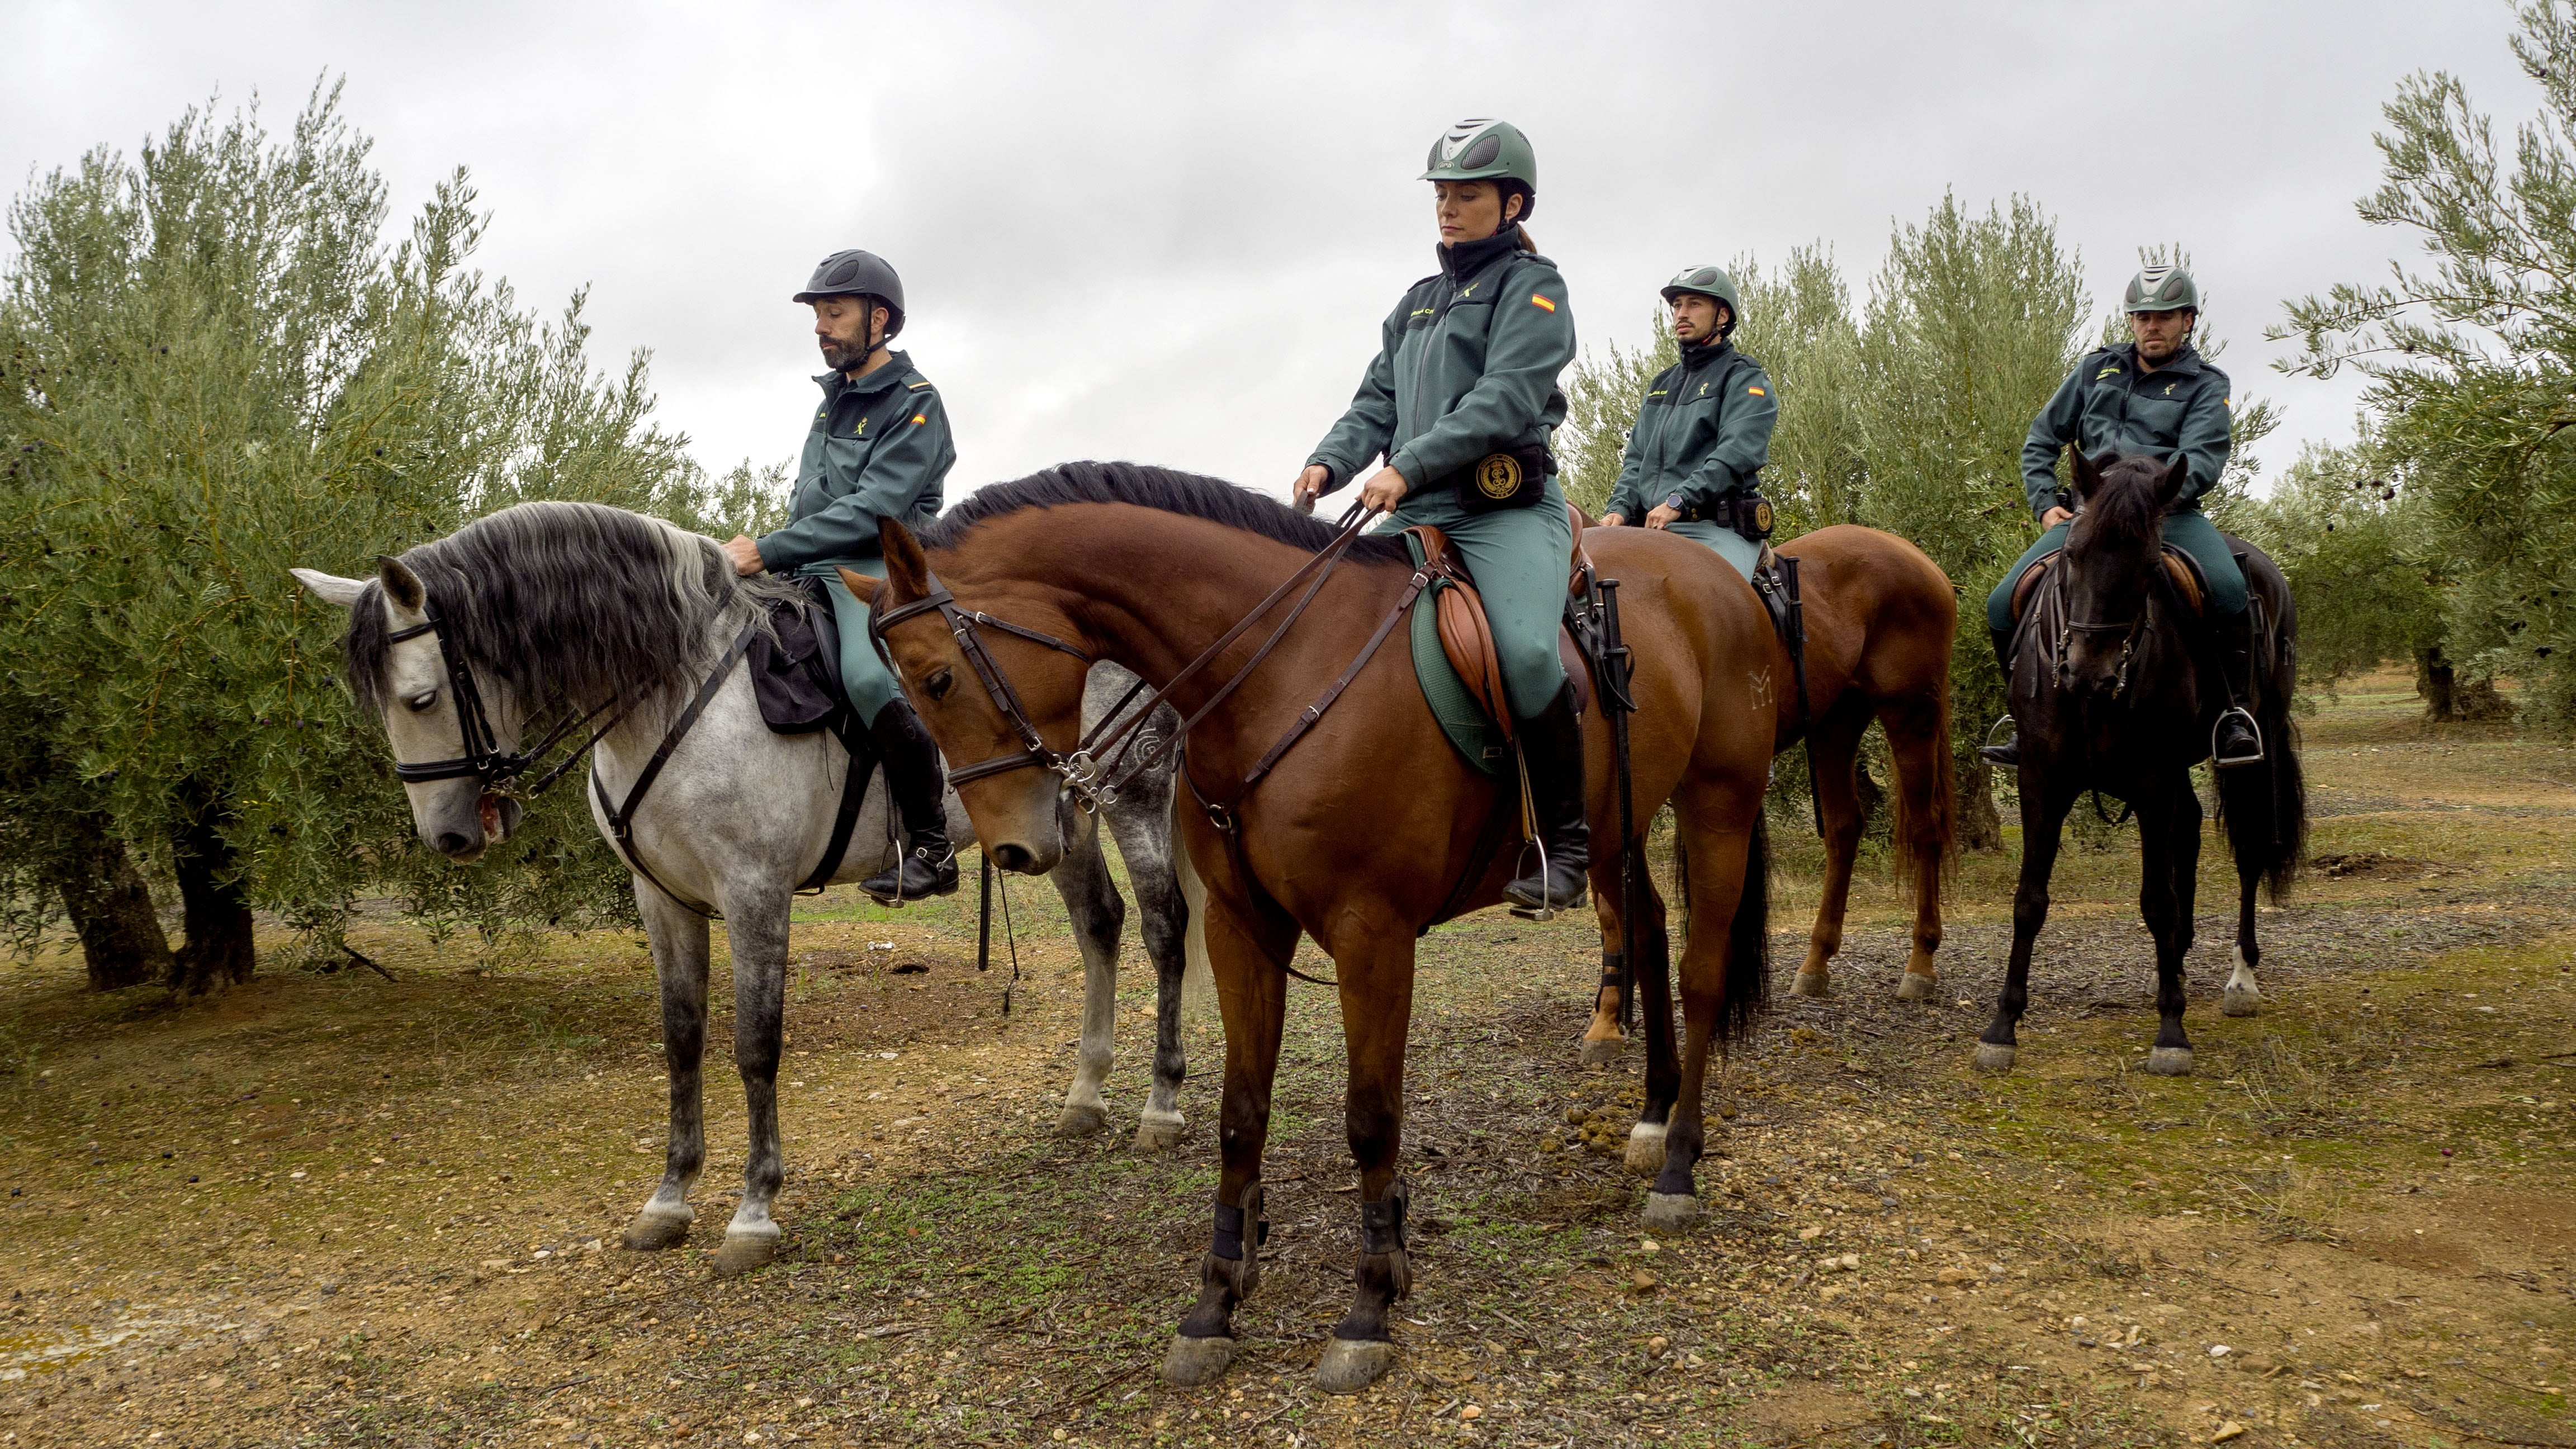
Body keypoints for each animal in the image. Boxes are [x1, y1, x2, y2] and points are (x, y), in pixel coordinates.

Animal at [295, 495, 1195, 1263]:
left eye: (421, 698)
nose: (447, 834)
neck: (676, 694)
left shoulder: (754, 893)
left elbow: (756, 1046)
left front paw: (753, 1211)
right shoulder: (663, 901)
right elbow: (683, 1041)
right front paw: (669, 1198)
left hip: (1133, 798)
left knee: (1163, 929)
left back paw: (1161, 1103)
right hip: (1057, 824)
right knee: (1100, 924)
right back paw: (1085, 1096)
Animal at [855, 458, 1782, 1392]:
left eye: (936, 679)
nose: (1013, 847)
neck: (1283, 671)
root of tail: (1715, 577)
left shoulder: (1373, 935)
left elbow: (1370, 1116)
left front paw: (1370, 1303)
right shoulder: (1242, 930)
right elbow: (1241, 1111)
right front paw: (1216, 1301)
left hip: (1720, 805)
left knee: (1702, 975)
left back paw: (1678, 1167)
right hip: (1622, 826)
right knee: (1652, 933)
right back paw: (1651, 1120)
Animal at [1576, 520, 1958, 1062]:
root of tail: (1914, 555)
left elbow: (1616, 908)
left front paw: (1611, 1017)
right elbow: (1611, 908)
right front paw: (1609, 1016)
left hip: (1911, 715)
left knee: (1925, 829)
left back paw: (1920, 964)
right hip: (1837, 722)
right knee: (1844, 829)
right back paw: (1816, 962)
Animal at [1978, 451, 2308, 1072]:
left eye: (2149, 564)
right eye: (2074, 551)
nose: (2089, 672)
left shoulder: (2153, 779)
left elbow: (2157, 900)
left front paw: (2171, 1032)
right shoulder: (2042, 778)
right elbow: (2029, 901)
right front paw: (2002, 1026)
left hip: (2255, 748)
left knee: (2249, 847)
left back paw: (2241, 979)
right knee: (2193, 830)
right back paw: (2174, 964)